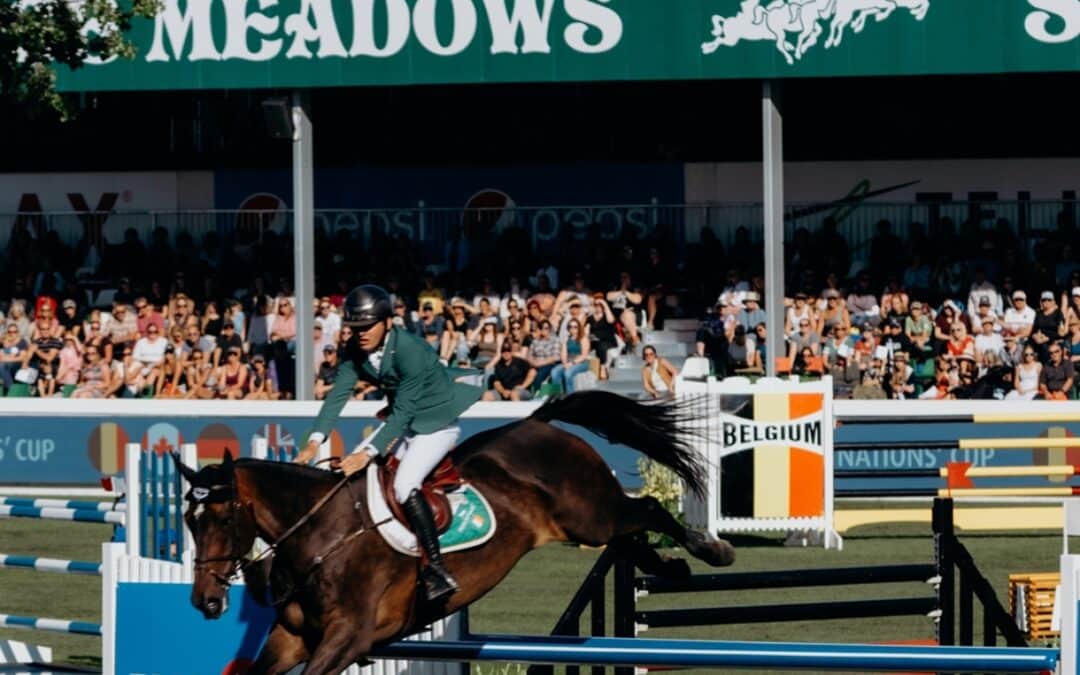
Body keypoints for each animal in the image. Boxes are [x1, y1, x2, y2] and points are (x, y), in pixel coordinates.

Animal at [174, 388, 734, 673]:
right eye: (189, 522)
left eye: (222, 517)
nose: (205, 602)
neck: (319, 537)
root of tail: (538, 422)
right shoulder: (291, 638)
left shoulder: (349, 637)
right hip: (588, 521)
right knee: (628, 536)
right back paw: (673, 565)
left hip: (590, 512)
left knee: (648, 511)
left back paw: (712, 551)